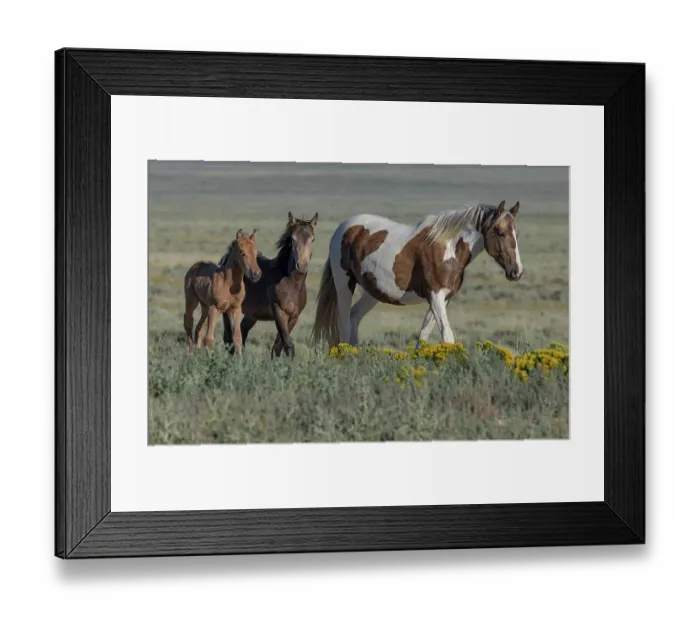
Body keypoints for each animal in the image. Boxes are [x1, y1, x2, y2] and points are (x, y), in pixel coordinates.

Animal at [222, 212, 318, 359]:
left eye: (312, 239)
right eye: (293, 239)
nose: (301, 266)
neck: (292, 284)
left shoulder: (294, 317)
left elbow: (278, 346)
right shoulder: (279, 312)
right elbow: (288, 345)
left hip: (252, 315)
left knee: (242, 334)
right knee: (229, 339)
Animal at [311, 201, 523, 347]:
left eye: (516, 233)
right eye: (500, 232)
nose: (517, 271)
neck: (448, 248)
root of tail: (345, 227)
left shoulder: (444, 299)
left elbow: (424, 334)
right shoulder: (435, 296)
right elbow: (447, 335)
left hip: (372, 292)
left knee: (354, 317)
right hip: (344, 284)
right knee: (343, 321)